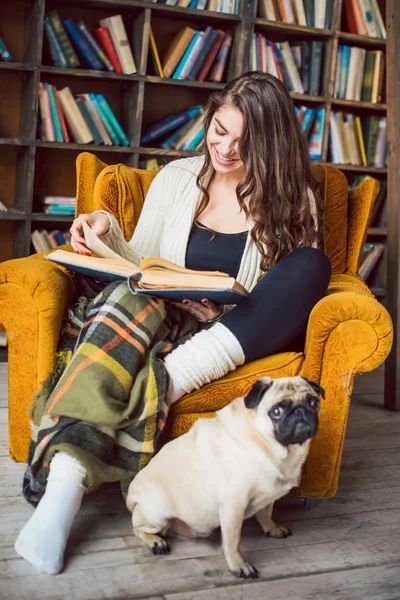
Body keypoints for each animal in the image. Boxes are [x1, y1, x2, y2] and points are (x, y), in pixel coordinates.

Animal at [126, 378, 324, 580]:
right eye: (276, 411)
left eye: (313, 403)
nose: (300, 411)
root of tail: (133, 496)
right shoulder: (233, 505)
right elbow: (232, 542)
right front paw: (238, 566)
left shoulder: (269, 495)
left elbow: (266, 514)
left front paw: (272, 529)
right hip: (157, 513)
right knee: (138, 529)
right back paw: (155, 542)